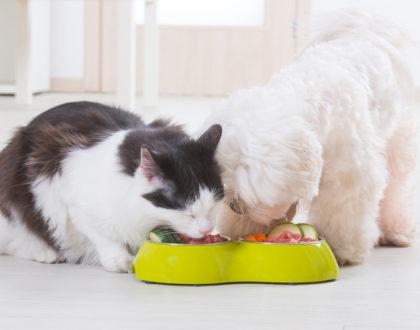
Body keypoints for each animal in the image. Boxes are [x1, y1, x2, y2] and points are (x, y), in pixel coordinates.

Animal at [0, 100, 225, 270]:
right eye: (188, 214)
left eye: (214, 204)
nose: (207, 230)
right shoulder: (70, 200)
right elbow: (102, 236)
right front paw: (121, 260)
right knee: (17, 238)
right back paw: (45, 253)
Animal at [204, 9, 416, 264]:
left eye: (250, 193)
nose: (235, 207)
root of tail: (364, 32)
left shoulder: (350, 177)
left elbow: (342, 212)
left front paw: (341, 250)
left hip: (397, 140)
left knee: (396, 189)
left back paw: (397, 231)